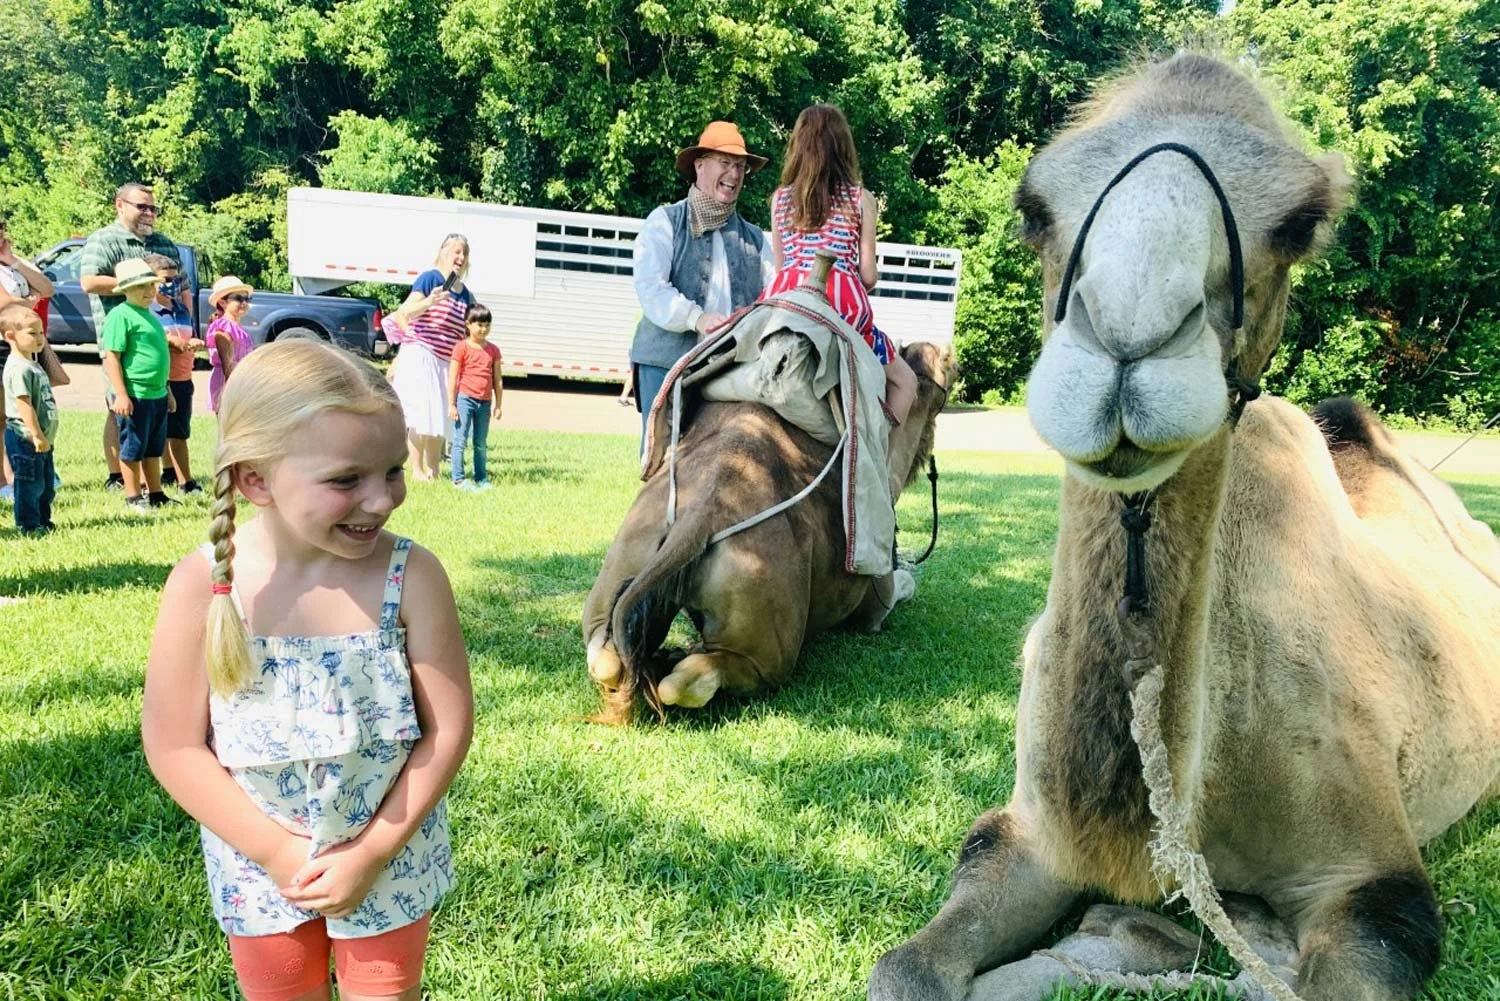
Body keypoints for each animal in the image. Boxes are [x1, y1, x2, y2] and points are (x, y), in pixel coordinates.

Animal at [583, 340, 954, 722]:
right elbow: (904, 586)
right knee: (698, 679)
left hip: (624, 560)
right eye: (952, 367)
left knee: (608, 658)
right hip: (767, 642)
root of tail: (698, 518)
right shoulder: (875, 604)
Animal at [869, 53, 1500, 1001]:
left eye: (1302, 222)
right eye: (1034, 207)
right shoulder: (1028, 832)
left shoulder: (1371, 881)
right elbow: (908, 963)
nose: (1126, 348)